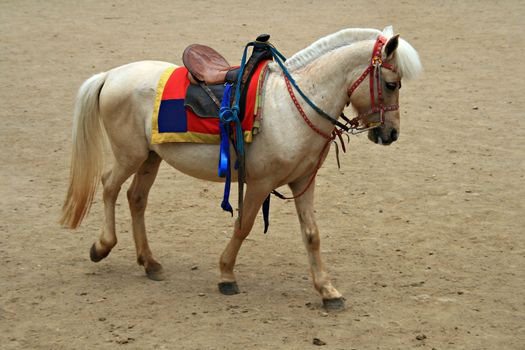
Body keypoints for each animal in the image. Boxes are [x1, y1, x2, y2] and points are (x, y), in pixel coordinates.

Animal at [60, 26, 422, 308]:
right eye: (392, 83)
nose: (391, 134)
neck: (292, 106)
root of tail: (111, 75)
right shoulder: (260, 183)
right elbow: (243, 226)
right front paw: (225, 274)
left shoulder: (303, 181)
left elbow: (312, 235)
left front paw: (327, 290)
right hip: (130, 155)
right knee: (109, 186)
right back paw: (102, 246)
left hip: (151, 158)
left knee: (136, 199)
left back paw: (150, 263)